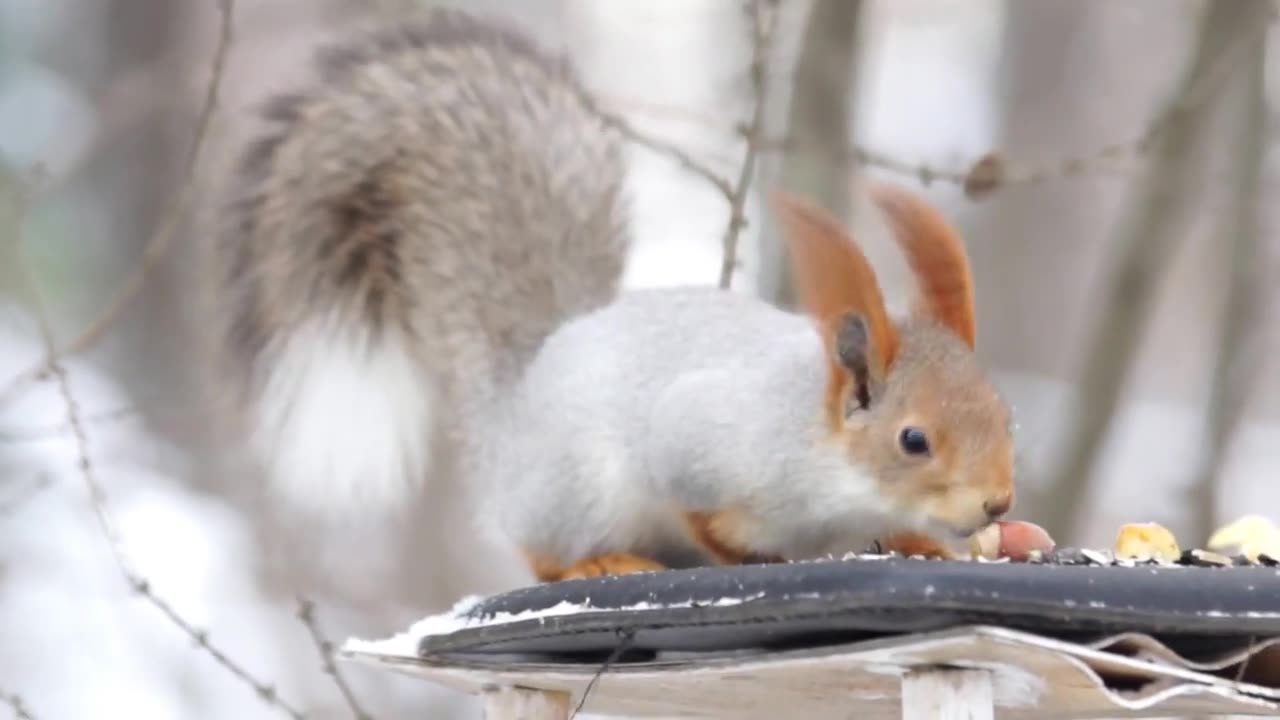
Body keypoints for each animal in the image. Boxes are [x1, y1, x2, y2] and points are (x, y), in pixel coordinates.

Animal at [212, 8, 1029, 584]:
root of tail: (513, 410)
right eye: (913, 440)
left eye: (1004, 417)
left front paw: (935, 544)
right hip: (576, 490)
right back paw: (599, 562)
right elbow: (698, 511)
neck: (838, 478)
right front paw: (745, 556)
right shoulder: (700, 445)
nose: (998, 503)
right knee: (540, 554)